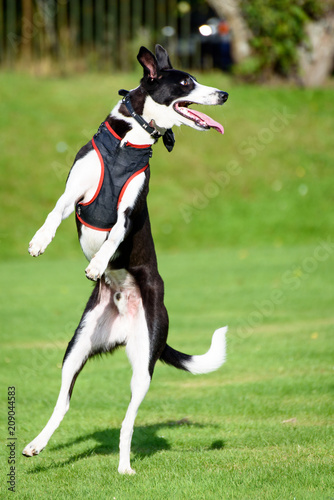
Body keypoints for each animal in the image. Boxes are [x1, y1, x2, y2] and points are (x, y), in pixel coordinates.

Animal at [22, 44, 228, 472]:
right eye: (187, 82)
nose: (223, 94)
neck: (128, 142)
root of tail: (124, 319)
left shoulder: (129, 212)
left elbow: (116, 233)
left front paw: (99, 263)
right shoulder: (74, 193)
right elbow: (54, 211)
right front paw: (39, 241)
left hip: (144, 363)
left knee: (128, 420)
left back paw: (124, 465)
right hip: (76, 349)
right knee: (64, 402)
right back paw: (37, 444)